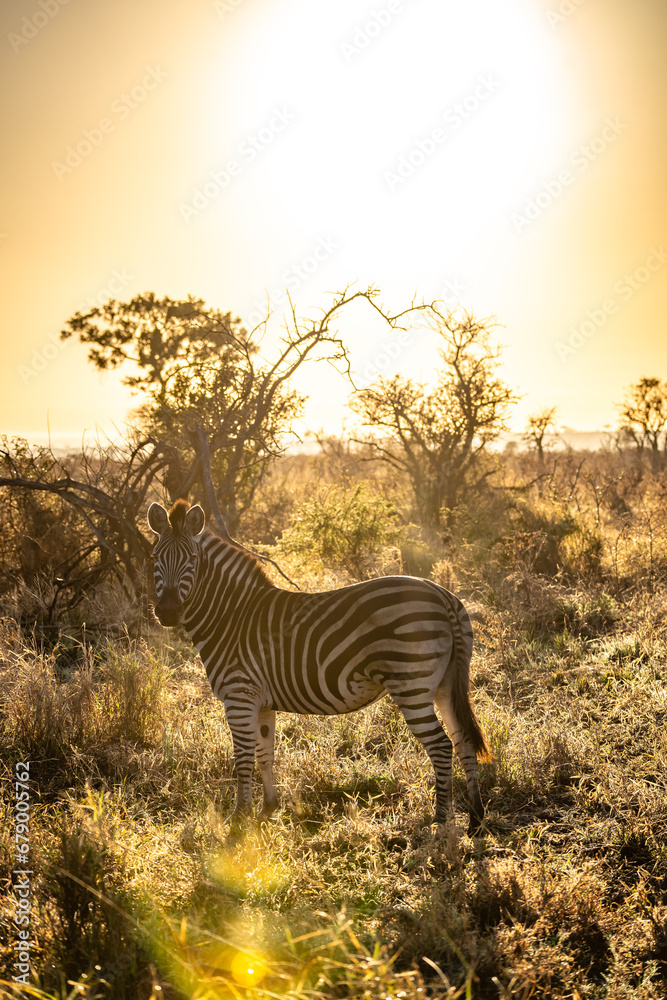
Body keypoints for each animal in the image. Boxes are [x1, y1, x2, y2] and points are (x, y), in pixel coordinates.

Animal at [147, 499, 491, 834]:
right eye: (155, 558)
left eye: (192, 560)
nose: (168, 612)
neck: (230, 617)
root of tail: (442, 595)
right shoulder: (261, 703)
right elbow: (265, 756)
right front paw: (267, 810)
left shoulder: (239, 697)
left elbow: (243, 759)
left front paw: (238, 819)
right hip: (447, 684)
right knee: (463, 740)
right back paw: (475, 819)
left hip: (412, 685)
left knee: (441, 746)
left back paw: (441, 820)